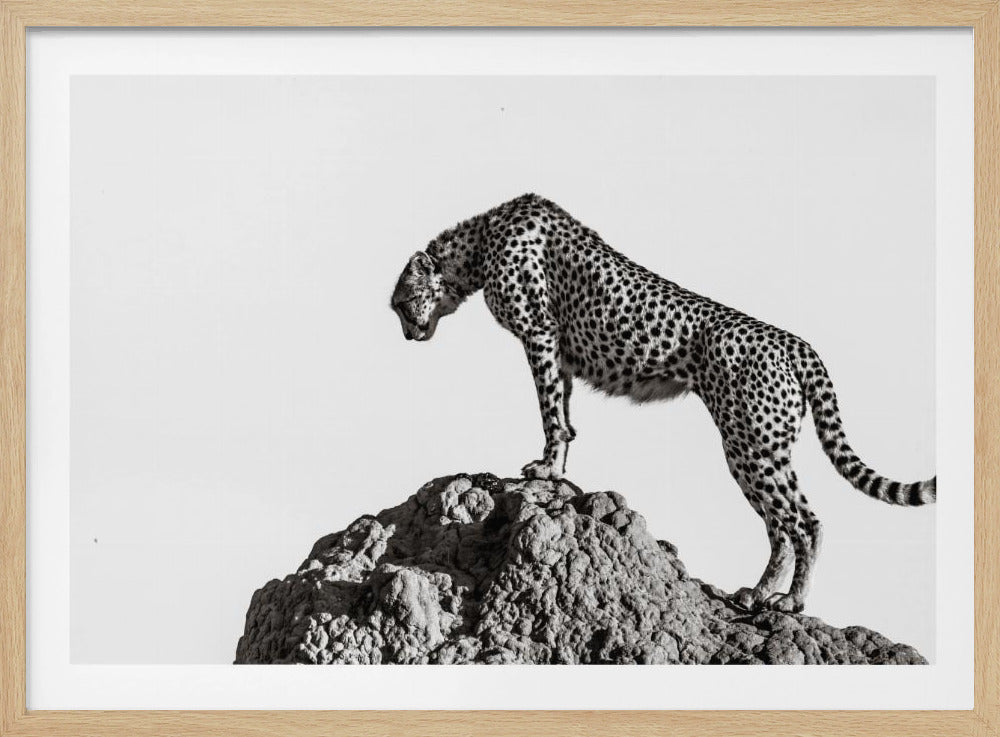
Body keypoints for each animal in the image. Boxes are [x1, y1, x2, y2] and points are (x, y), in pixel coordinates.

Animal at [390, 193, 936, 614]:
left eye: (400, 303)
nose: (408, 334)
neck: (479, 241)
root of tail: (795, 343)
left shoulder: (540, 336)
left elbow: (550, 414)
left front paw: (544, 470)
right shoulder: (561, 353)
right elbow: (564, 417)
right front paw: (557, 471)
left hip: (749, 446)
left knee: (801, 523)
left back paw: (790, 601)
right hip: (764, 448)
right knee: (786, 525)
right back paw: (759, 593)